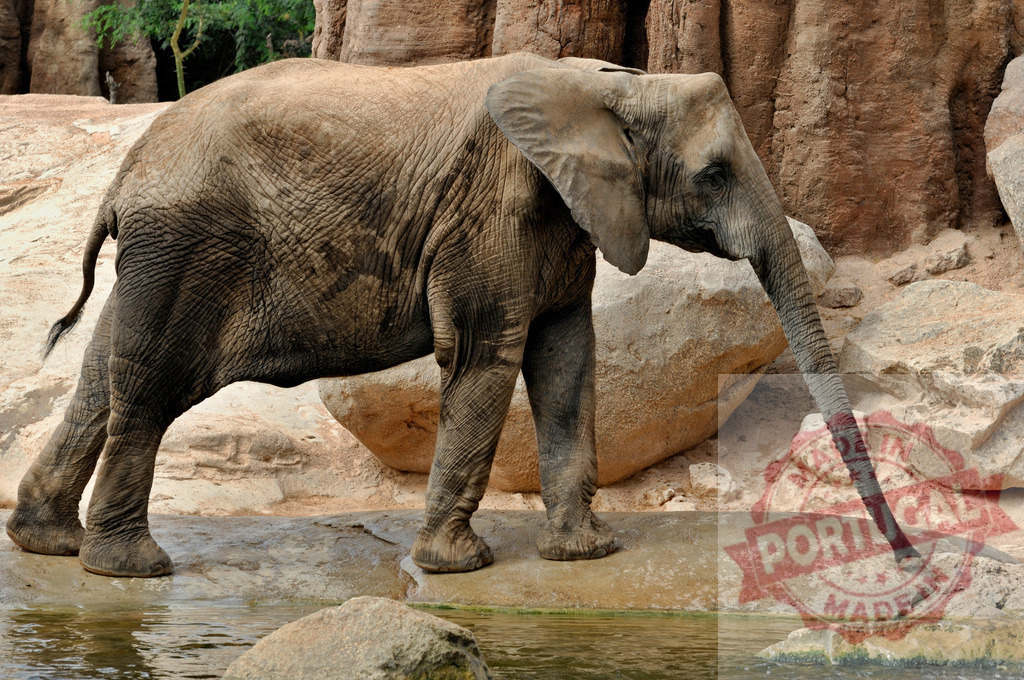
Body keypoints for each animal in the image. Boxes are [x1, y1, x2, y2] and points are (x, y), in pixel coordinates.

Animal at [6, 52, 919, 577]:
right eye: (716, 173)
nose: (908, 565)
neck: (608, 84)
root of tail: (125, 174)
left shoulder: (561, 217)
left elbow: (566, 357)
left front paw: (585, 553)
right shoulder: (491, 210)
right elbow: (488, 353)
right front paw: (459, 568)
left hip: (160, 258)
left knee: (99, 379)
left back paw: (49, 544)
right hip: (188, 248)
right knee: (150, 389)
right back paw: (129, 569)